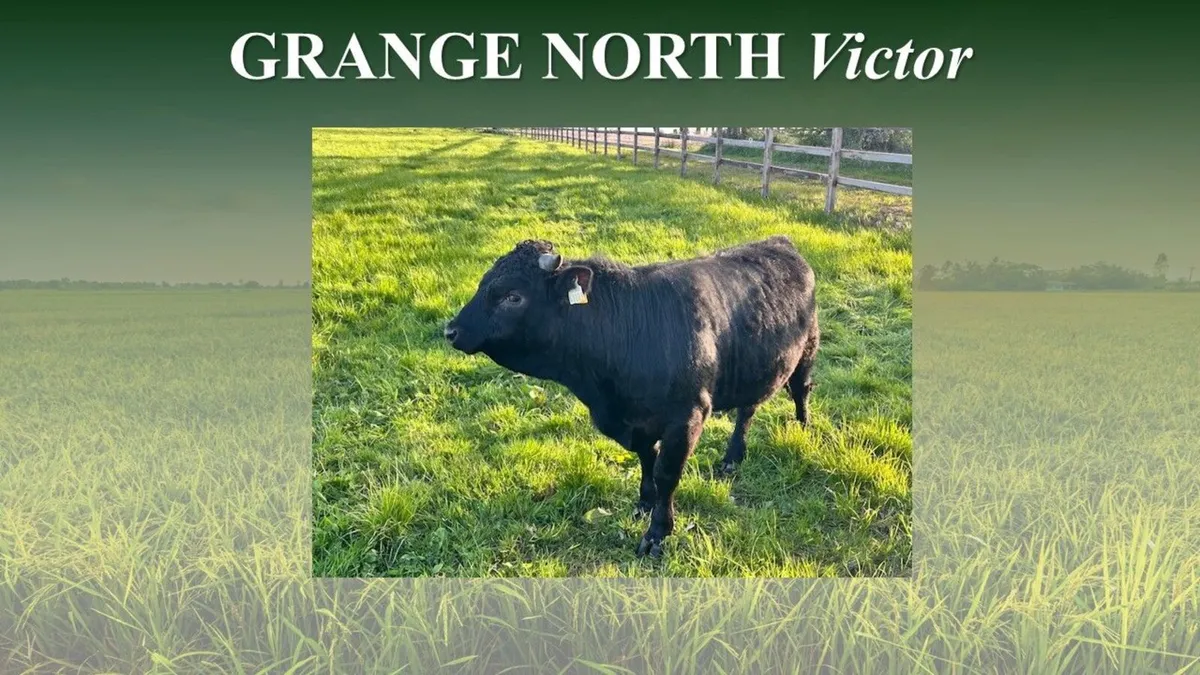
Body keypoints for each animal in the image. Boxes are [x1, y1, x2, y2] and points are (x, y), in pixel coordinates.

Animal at [443, 235, 820, 558]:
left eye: (513, 297)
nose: (451, 330)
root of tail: (780, 242)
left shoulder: (687, 417)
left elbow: (667, 473)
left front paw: (658, 532)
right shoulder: (633, 424)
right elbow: (646, 459)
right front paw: (644, 502)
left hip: (807, 350)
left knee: (800, 390)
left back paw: (802, 427)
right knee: (747, 410)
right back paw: (732, 457)